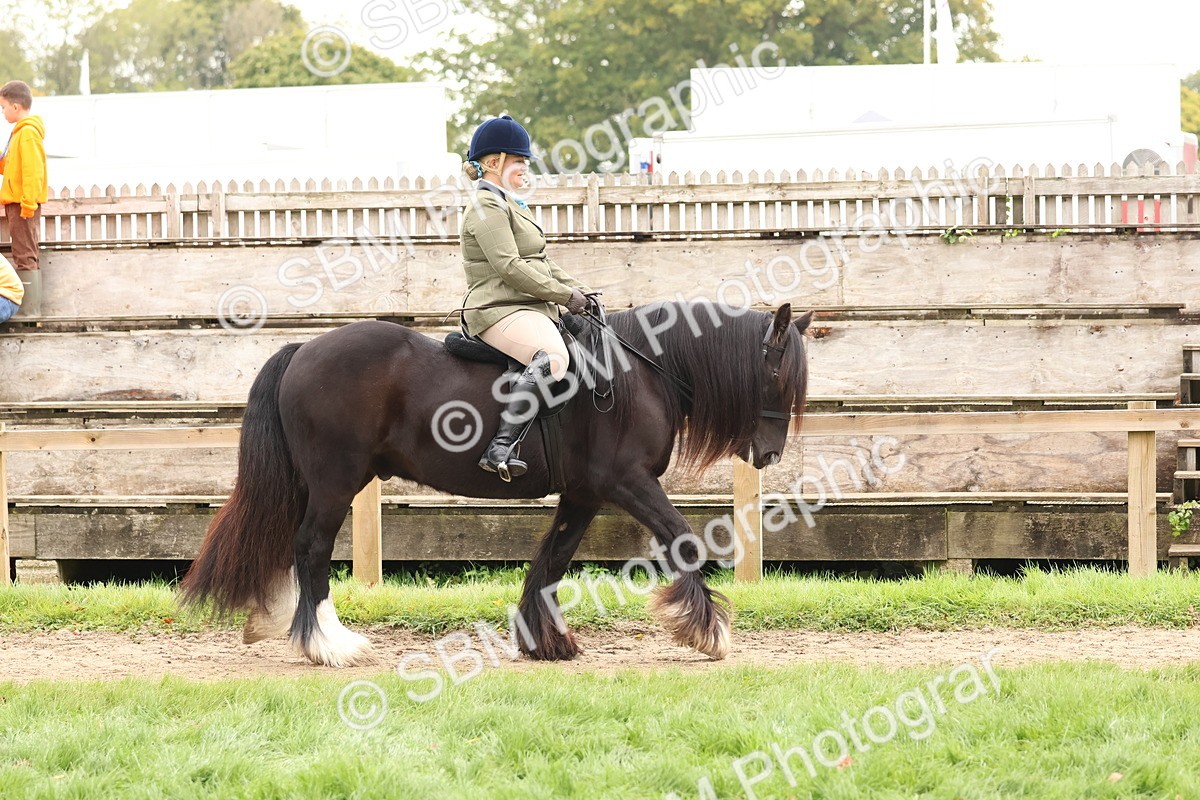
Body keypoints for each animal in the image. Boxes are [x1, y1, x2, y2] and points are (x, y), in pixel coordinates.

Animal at [180, 300, 813, 667]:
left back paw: (275, 622)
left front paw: (544, 643)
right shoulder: (628, 483)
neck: (637, 371)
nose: (770, 453)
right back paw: (328, 644)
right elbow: (683, 540)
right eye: (777, 373)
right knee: (311, 548)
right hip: (335, 482)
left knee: (289, 542)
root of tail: (303, 349)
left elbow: (551, 561)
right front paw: (708, 633)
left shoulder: (584, 494)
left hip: (312, 483)